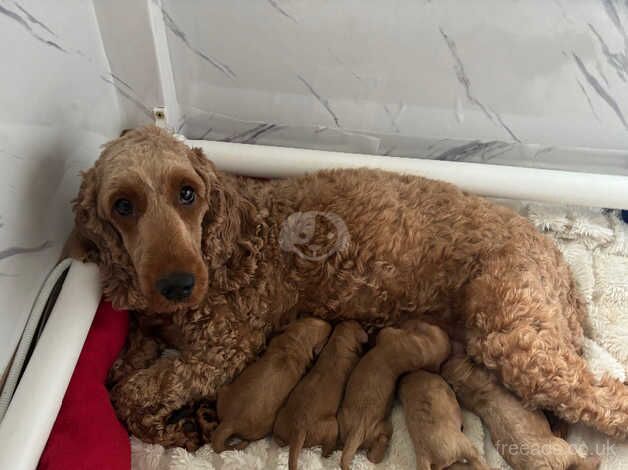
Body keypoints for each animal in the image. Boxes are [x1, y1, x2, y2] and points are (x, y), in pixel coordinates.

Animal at [274, 322, 368, 468]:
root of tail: (298, 429)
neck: (338, 343)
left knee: (278, 440)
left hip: (280, 418)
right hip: (332, 425)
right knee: (325, 451)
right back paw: (332, 451)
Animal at [338, 320, 452, 470]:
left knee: (378, 445)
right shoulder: (392, 336)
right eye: (437, 328)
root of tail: (356, 431)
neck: (404, 350)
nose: (450, 339)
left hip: (379, 427)